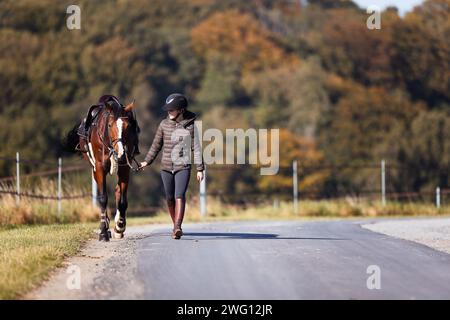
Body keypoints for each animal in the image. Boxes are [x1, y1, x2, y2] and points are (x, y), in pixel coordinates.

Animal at [64, 95, 140, 240]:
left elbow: (122, 200)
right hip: (94, 168)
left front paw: (119, 226)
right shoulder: (99, 169)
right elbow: (103, 198)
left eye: (128, 126)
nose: (121, 153)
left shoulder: (124, 168)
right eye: (110, 125)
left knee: (118, 191)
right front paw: (104, 231)